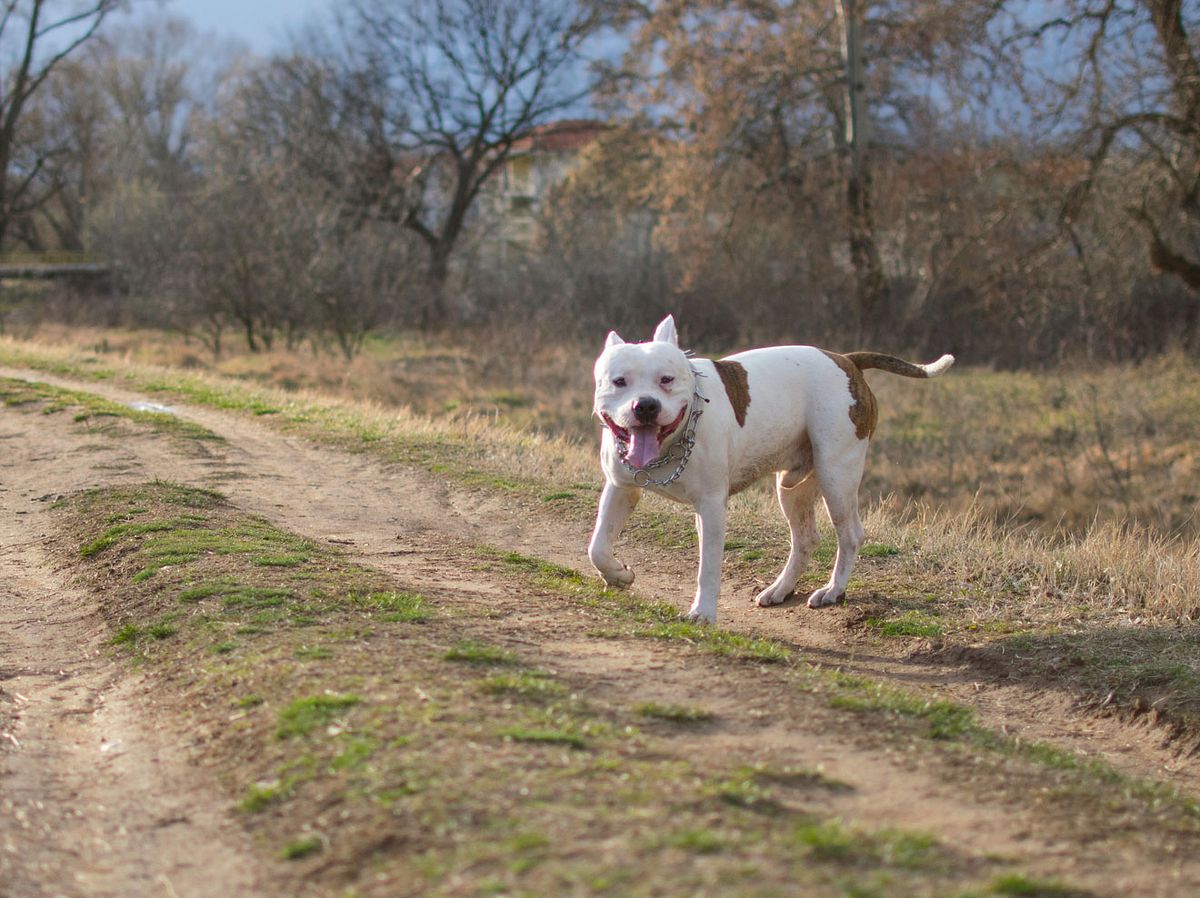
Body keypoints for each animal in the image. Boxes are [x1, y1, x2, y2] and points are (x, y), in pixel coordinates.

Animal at [585, 316, 950, 624]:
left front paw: (703, 612)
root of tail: (846, 360)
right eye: (619, 381)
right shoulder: (620, 488)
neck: (669, 445)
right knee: (805, 538)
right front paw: (618, 575)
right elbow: (598, 547)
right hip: (794, 487)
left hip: (836, 476)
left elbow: (708, 567)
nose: (645, 406)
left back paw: (833, 591)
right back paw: (780, 589)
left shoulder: (711, 506)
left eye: (666, 380)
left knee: (849, 535)